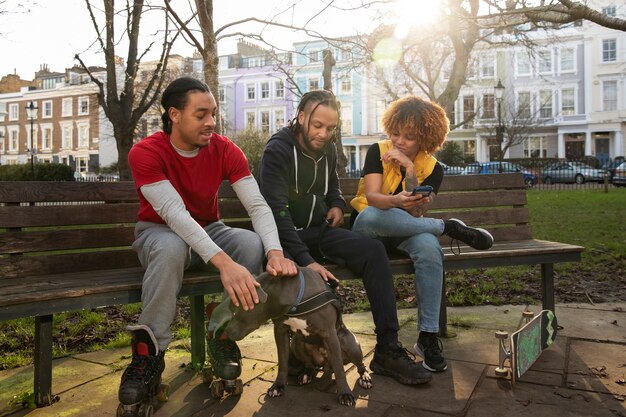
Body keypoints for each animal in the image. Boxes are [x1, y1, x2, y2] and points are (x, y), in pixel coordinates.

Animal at [224, 264, 370, 404]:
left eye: (235, 310)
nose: (226, 332)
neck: (295, 301)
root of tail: (325, 364)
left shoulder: (329, 334)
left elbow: (339, 369)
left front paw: (345, 393)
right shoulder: (280, 331)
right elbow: (282, 362)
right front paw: (277, 386)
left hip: (350, 344)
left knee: (359, 365)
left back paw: (365, 378)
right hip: (296, 342)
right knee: (309, 364)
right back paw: (306, 374)